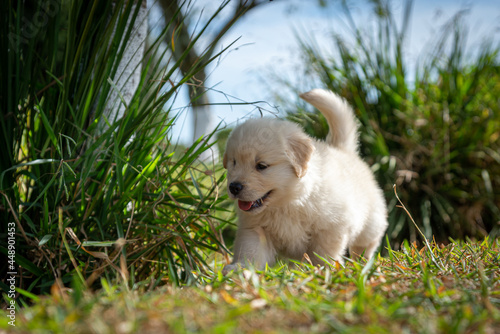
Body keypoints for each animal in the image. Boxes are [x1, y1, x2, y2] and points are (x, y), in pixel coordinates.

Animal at [222, 88, 386, 274]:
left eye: (261, 166)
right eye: (234, 162)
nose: (234, 187)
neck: (287, 202)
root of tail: (342, 149)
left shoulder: (331, 227)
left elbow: (324, 253)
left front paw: (325, 270)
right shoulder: (255, 229)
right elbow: (251, 250)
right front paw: (240, 268)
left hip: (371, 224)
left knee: (364, 246)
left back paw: (364, 264)